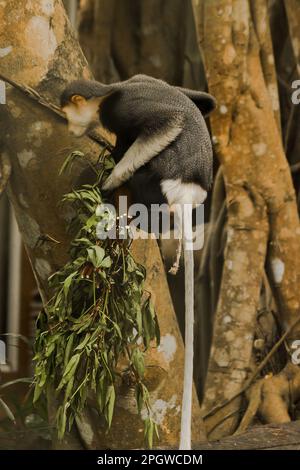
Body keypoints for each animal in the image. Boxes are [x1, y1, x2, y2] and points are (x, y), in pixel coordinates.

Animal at [60, 74, 216, 452]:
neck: (106, 92)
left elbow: (167, 122)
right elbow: (202, 101)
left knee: (147, 168)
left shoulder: (120, 106)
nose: (70, 127)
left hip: (160, 184)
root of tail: (188, 195)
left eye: (69, 113)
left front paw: (111, 179)